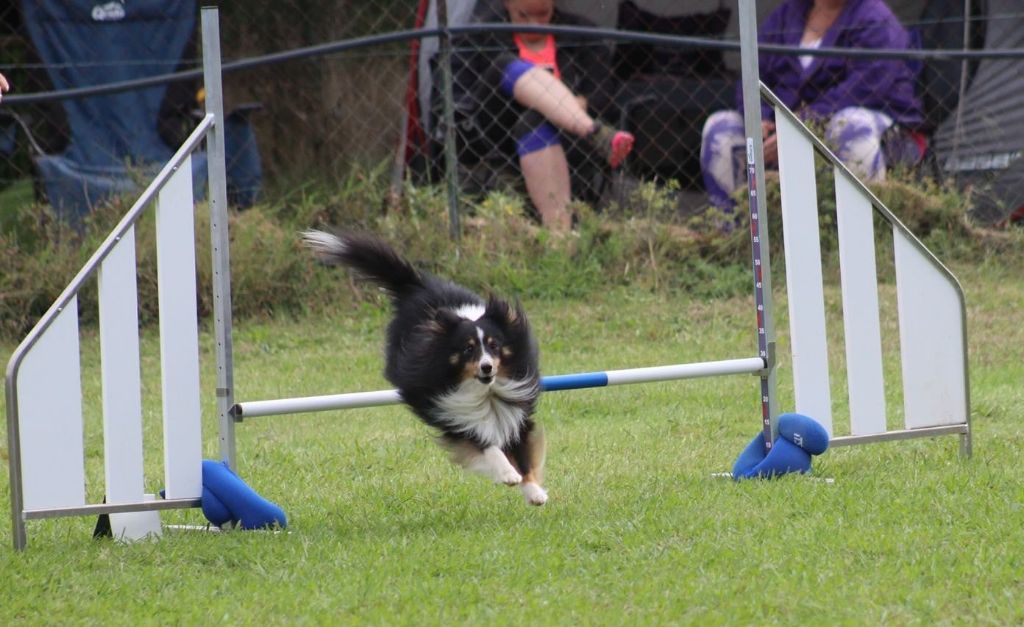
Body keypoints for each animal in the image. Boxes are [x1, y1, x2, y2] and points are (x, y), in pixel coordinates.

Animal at [299, 230, 548, 504]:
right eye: (468, 348)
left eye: (495, 346)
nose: (487, 368)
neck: (485, 393)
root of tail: (414, 285)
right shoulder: (451, 415)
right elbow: (486, 444)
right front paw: (507, 474)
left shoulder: (515, 411)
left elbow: (524, 455)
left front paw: (534, 492)